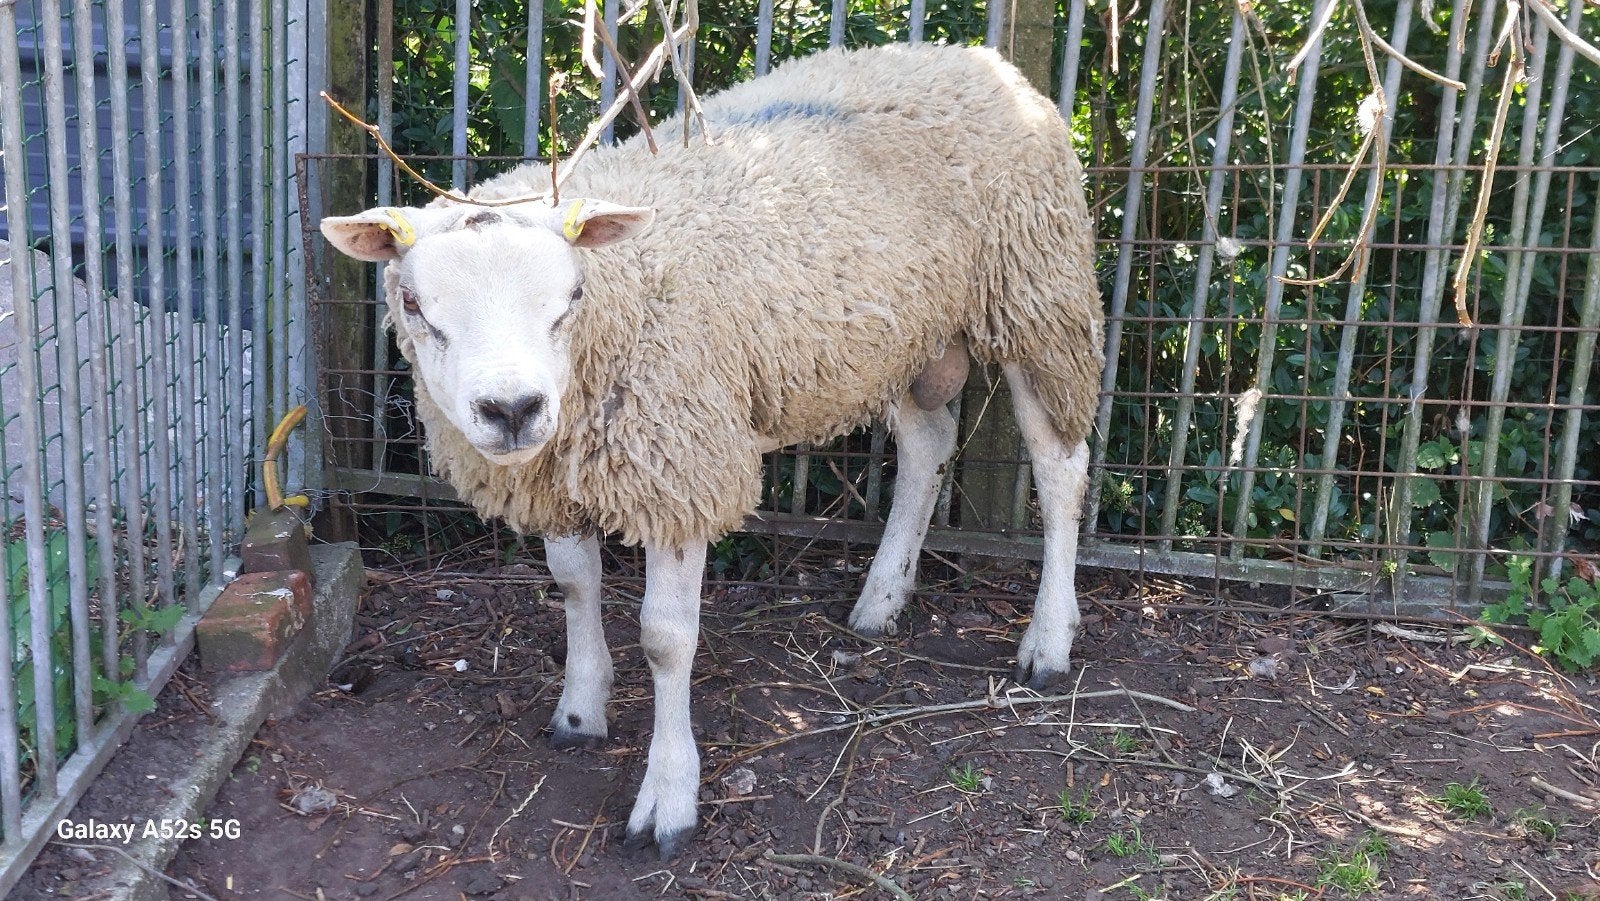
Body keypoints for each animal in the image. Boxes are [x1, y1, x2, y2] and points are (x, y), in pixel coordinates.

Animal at [320, 42, 1104, 859]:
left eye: (572, 297)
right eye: (414, 304)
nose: (512, 410)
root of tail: (979, 60)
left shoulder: (679, 460)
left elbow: (666, 640)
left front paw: (668, 798)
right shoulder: (560, 469)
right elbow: (574, 584)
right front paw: (580, 709)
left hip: (1037, 292)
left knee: (1061, 469)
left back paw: (1048, 640)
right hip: (905, 332)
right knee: (927, 447)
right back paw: (881, 600)